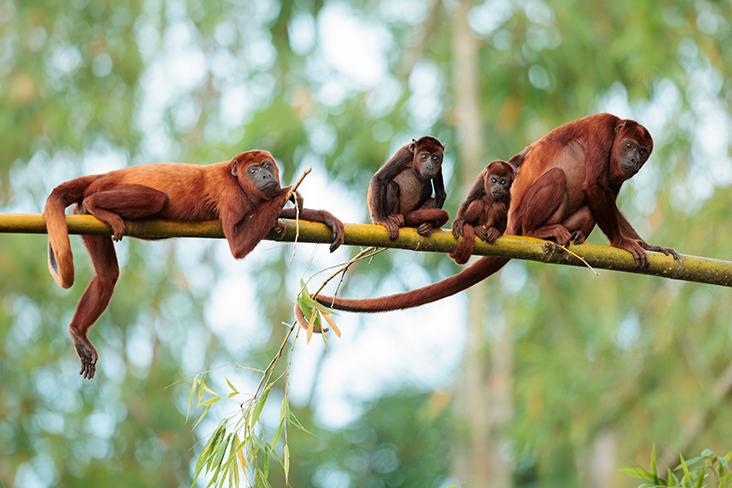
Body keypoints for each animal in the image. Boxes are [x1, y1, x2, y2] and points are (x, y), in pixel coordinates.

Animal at [44, 150, 345, 379]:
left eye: (267, 166)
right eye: (253, 170)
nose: (266, 176)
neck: (234, 176)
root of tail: (106, 175)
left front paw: (325, 217)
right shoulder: (230, 193)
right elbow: (237, 242)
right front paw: (287, 191)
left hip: (83, 219)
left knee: (107, 275)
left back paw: (78, 332)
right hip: (105, 191)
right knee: (155, 198)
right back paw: (99, 206)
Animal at [302, 113, 678, 314]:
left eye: (643, 151)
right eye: (629, 146)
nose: (634, 159)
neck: (616, 131)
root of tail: (512, 225)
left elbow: (608, 198)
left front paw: (645, 245)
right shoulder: (601, 131)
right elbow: (596, 187)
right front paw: (624, 244)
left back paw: (573, 237)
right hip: (524, 216)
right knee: (559, 180)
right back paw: (540, 233)